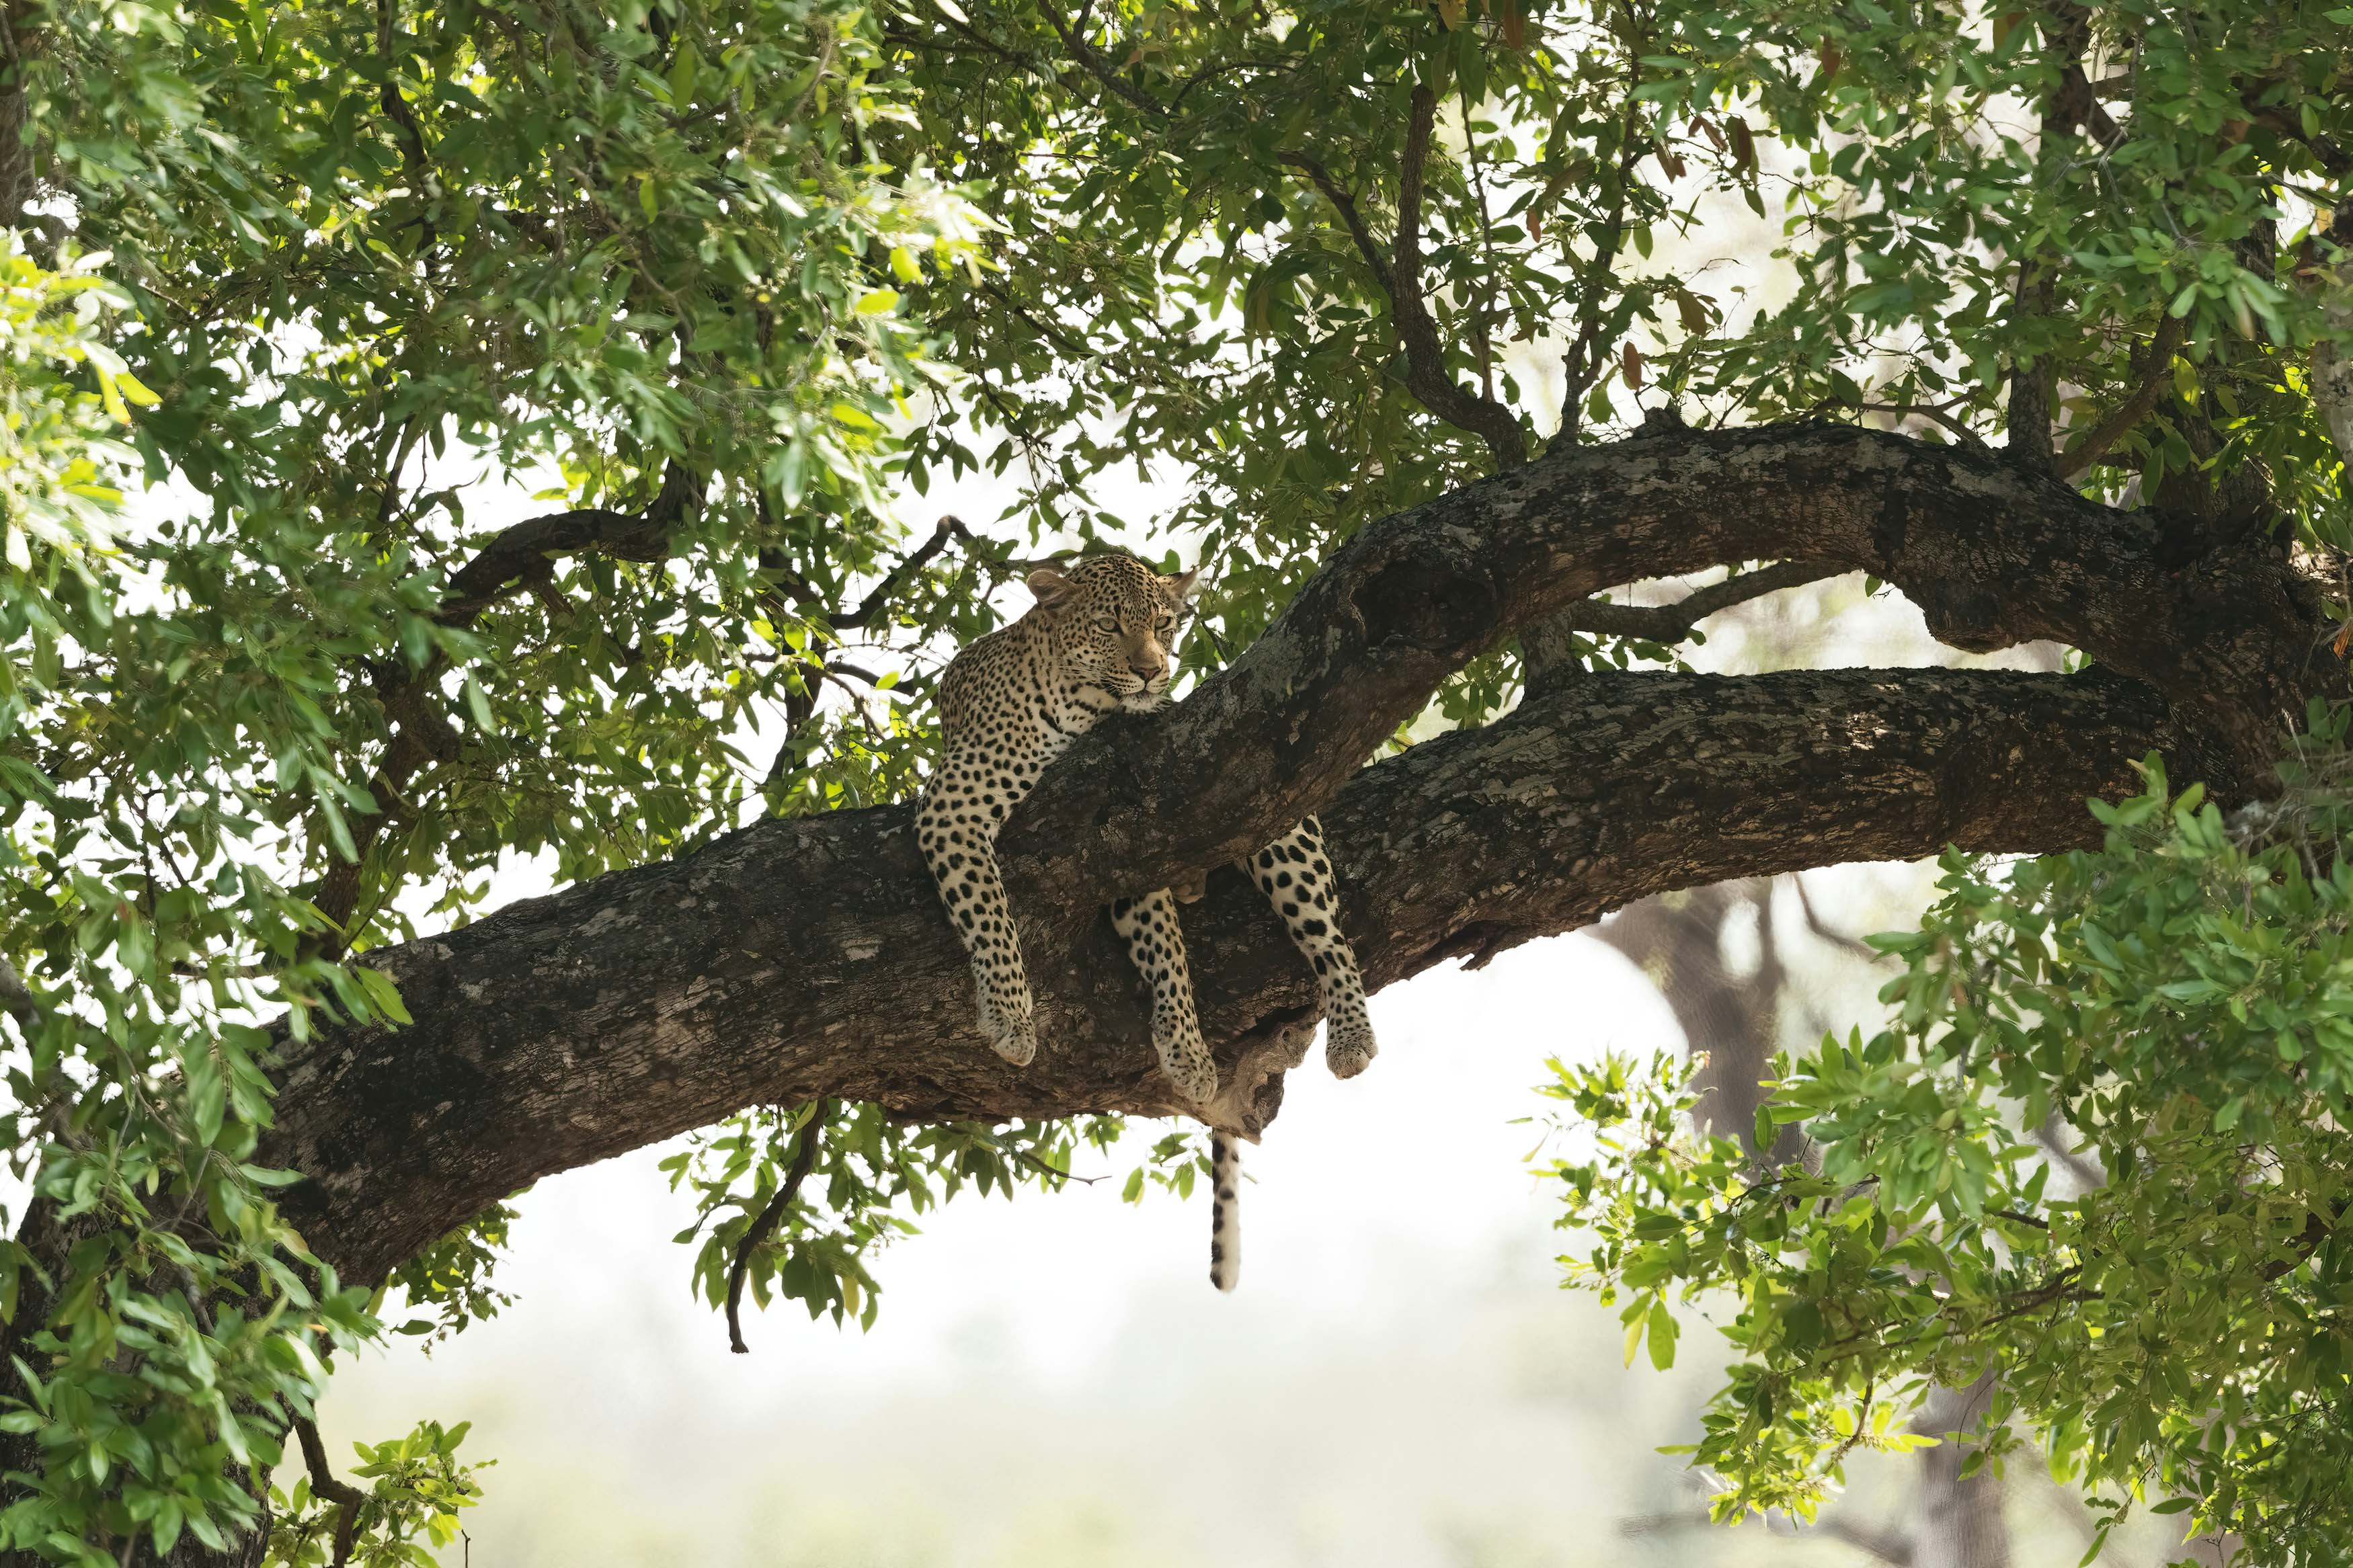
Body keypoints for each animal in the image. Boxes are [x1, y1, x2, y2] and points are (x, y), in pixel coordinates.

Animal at [914, 548, 1379, 1291]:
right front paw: (1011, 1015)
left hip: (1268, 801)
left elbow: (1167, 950)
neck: (1083, 708)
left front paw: (1185, 1051)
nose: (1153, 671)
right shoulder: (958, 799)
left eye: (1164, 623)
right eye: (1109, 625)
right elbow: (990, 911)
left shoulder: (1138, 835)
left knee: (1328, 932)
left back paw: (1351, 1031)